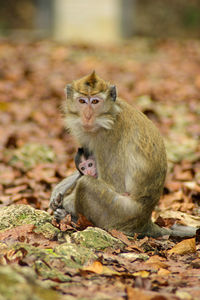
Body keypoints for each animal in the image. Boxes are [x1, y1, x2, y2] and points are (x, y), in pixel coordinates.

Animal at [49, 71, 195, 238]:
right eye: (82, 101)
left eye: (95, 101)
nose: (87, 116)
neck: (109, 116)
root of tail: (145, 221)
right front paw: (59, 189)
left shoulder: (109, 137)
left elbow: (114, 184)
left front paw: (65, 204)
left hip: (119, 213)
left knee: (86, 184)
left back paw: (73, 218)